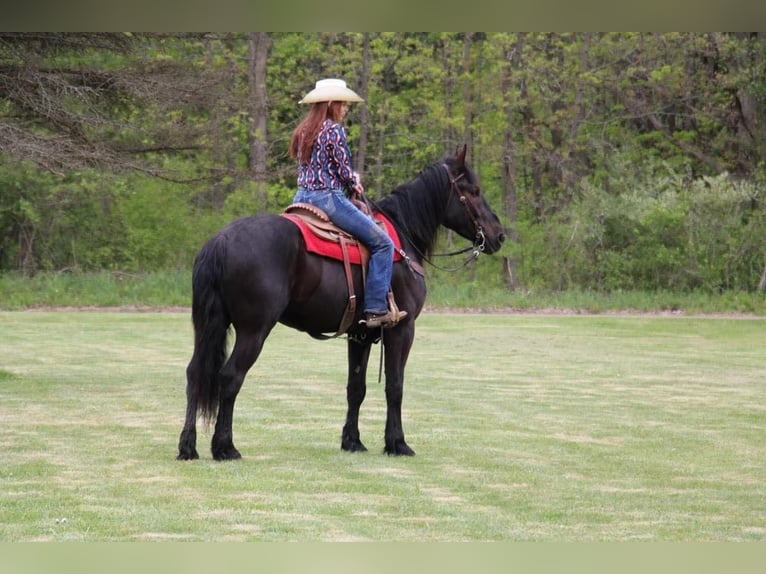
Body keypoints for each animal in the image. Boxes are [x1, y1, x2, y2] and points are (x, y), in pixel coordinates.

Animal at [177, 146, 508, 462]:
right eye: (474, 190)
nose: (499, 235)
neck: (403, 237)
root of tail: (221, 241)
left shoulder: (359, 335)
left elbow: (356, 388)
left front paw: (353, 441)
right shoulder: (402, 329)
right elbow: (395, 386)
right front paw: (397, 443)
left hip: (209, 326)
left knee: (195, 374)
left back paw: (188, 447)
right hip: (253, 331)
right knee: (230, 378)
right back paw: (225, 447)